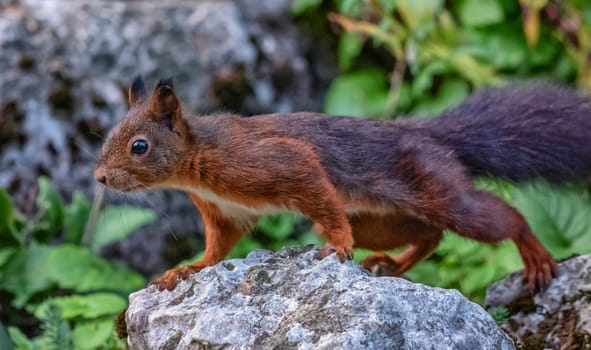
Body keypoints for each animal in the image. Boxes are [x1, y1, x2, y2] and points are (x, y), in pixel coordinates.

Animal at [95, 76, 591, 292]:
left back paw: (536, 256)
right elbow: (218, 249)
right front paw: (186, 269)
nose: (99, 177)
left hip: (438, 188)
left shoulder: (278, 162)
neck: (196, 162)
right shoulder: (226, 212)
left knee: (500, 218)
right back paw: (392, 264)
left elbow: (314, 186)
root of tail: (430, 136)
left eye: (139, 146)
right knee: (429, 234)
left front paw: (337, 247)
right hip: (379, 218)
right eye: (108, 134)